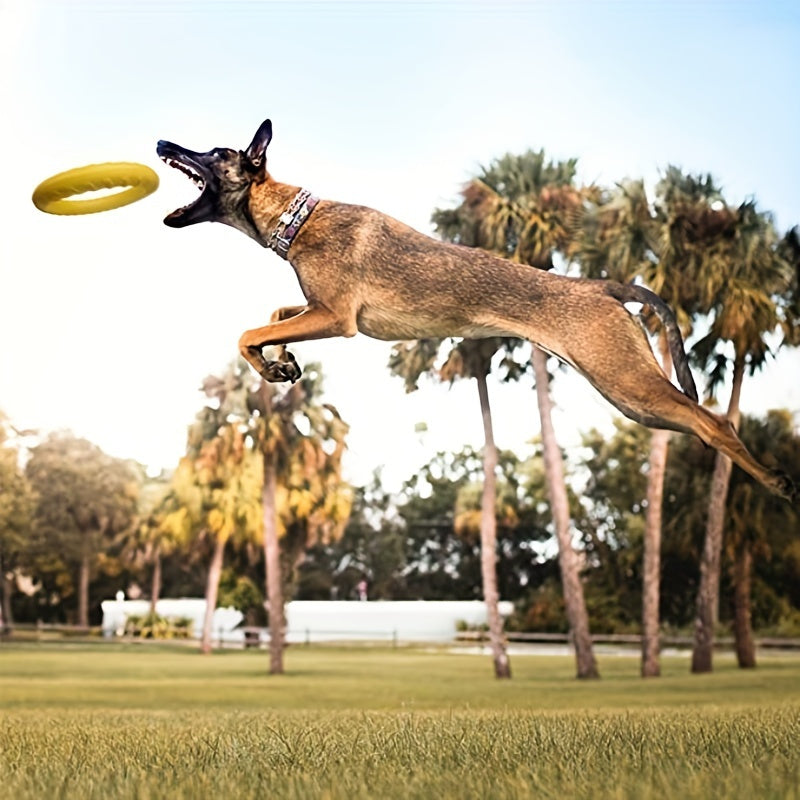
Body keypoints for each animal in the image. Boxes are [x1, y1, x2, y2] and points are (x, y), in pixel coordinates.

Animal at [156, 117, 792, 500]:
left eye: (215, 152)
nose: (162, 144)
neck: (299, 216)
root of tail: (602, 287)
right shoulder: (319, 310)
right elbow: (271, 316)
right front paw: (281, 363)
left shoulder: (336, 319)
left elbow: (246, 331)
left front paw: (271, 361)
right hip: (630, 397)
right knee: (701, 423)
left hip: (628, 381)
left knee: (714, 420)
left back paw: (775, 481)